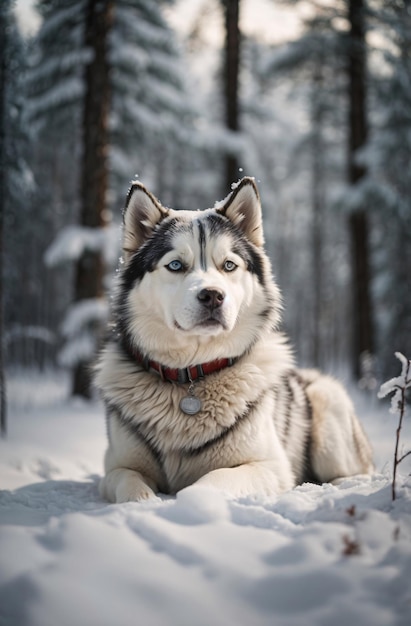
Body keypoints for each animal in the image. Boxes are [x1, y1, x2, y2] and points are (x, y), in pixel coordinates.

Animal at [96, 177, 374, 502]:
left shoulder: (269, 467)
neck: (192, 377)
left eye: (229, 265)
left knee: (354, 472)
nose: (213, 295)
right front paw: (142, 502)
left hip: (327, 408)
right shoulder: (116, 466)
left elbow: (210, 481)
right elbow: (129, 483)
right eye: (176, 265)